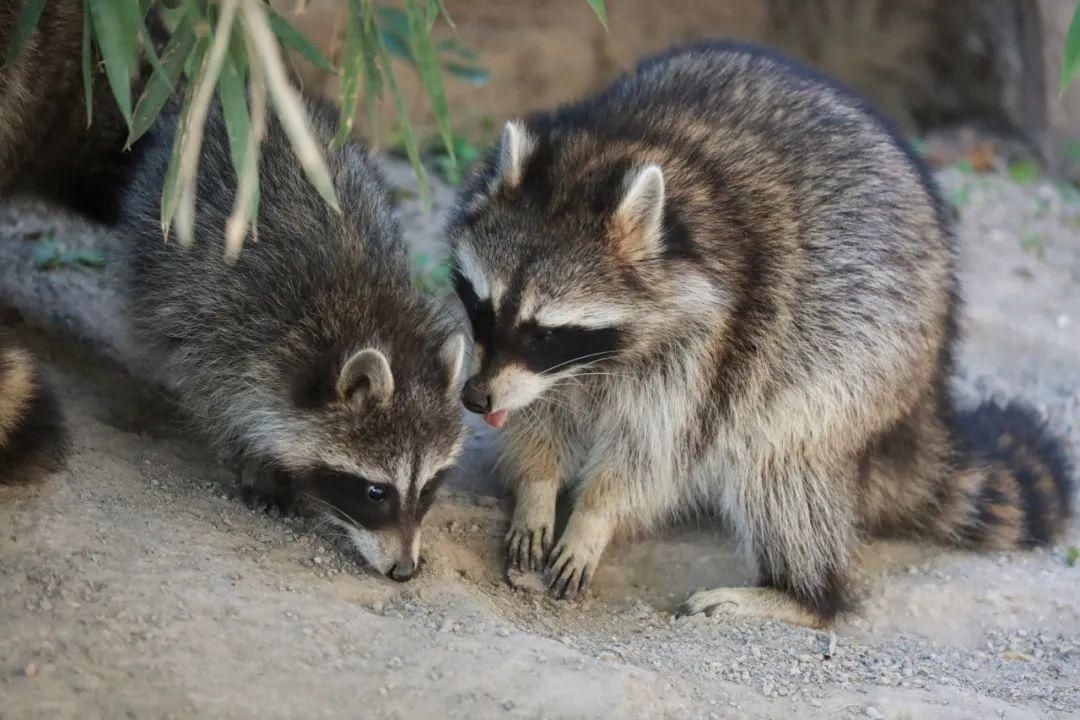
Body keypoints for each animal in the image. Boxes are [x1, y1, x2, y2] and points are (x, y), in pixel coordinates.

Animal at [122, 99, 468, 578]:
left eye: (429, 488)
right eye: (376, 492)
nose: (403, 571)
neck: (369, 309)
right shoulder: (228, 323)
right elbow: (218, 399)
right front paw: (255, 463)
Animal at [444, 40, 1071, 626]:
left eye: (545, 333)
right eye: (483, 308)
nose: (475, 398)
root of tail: (926, 400)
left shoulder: (712, 343)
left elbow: (651, 453)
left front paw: (594, 517)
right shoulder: (532, 371)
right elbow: (537, 419)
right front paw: (537, 489)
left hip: (860, 365)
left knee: (780, 469)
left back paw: (804, 595)